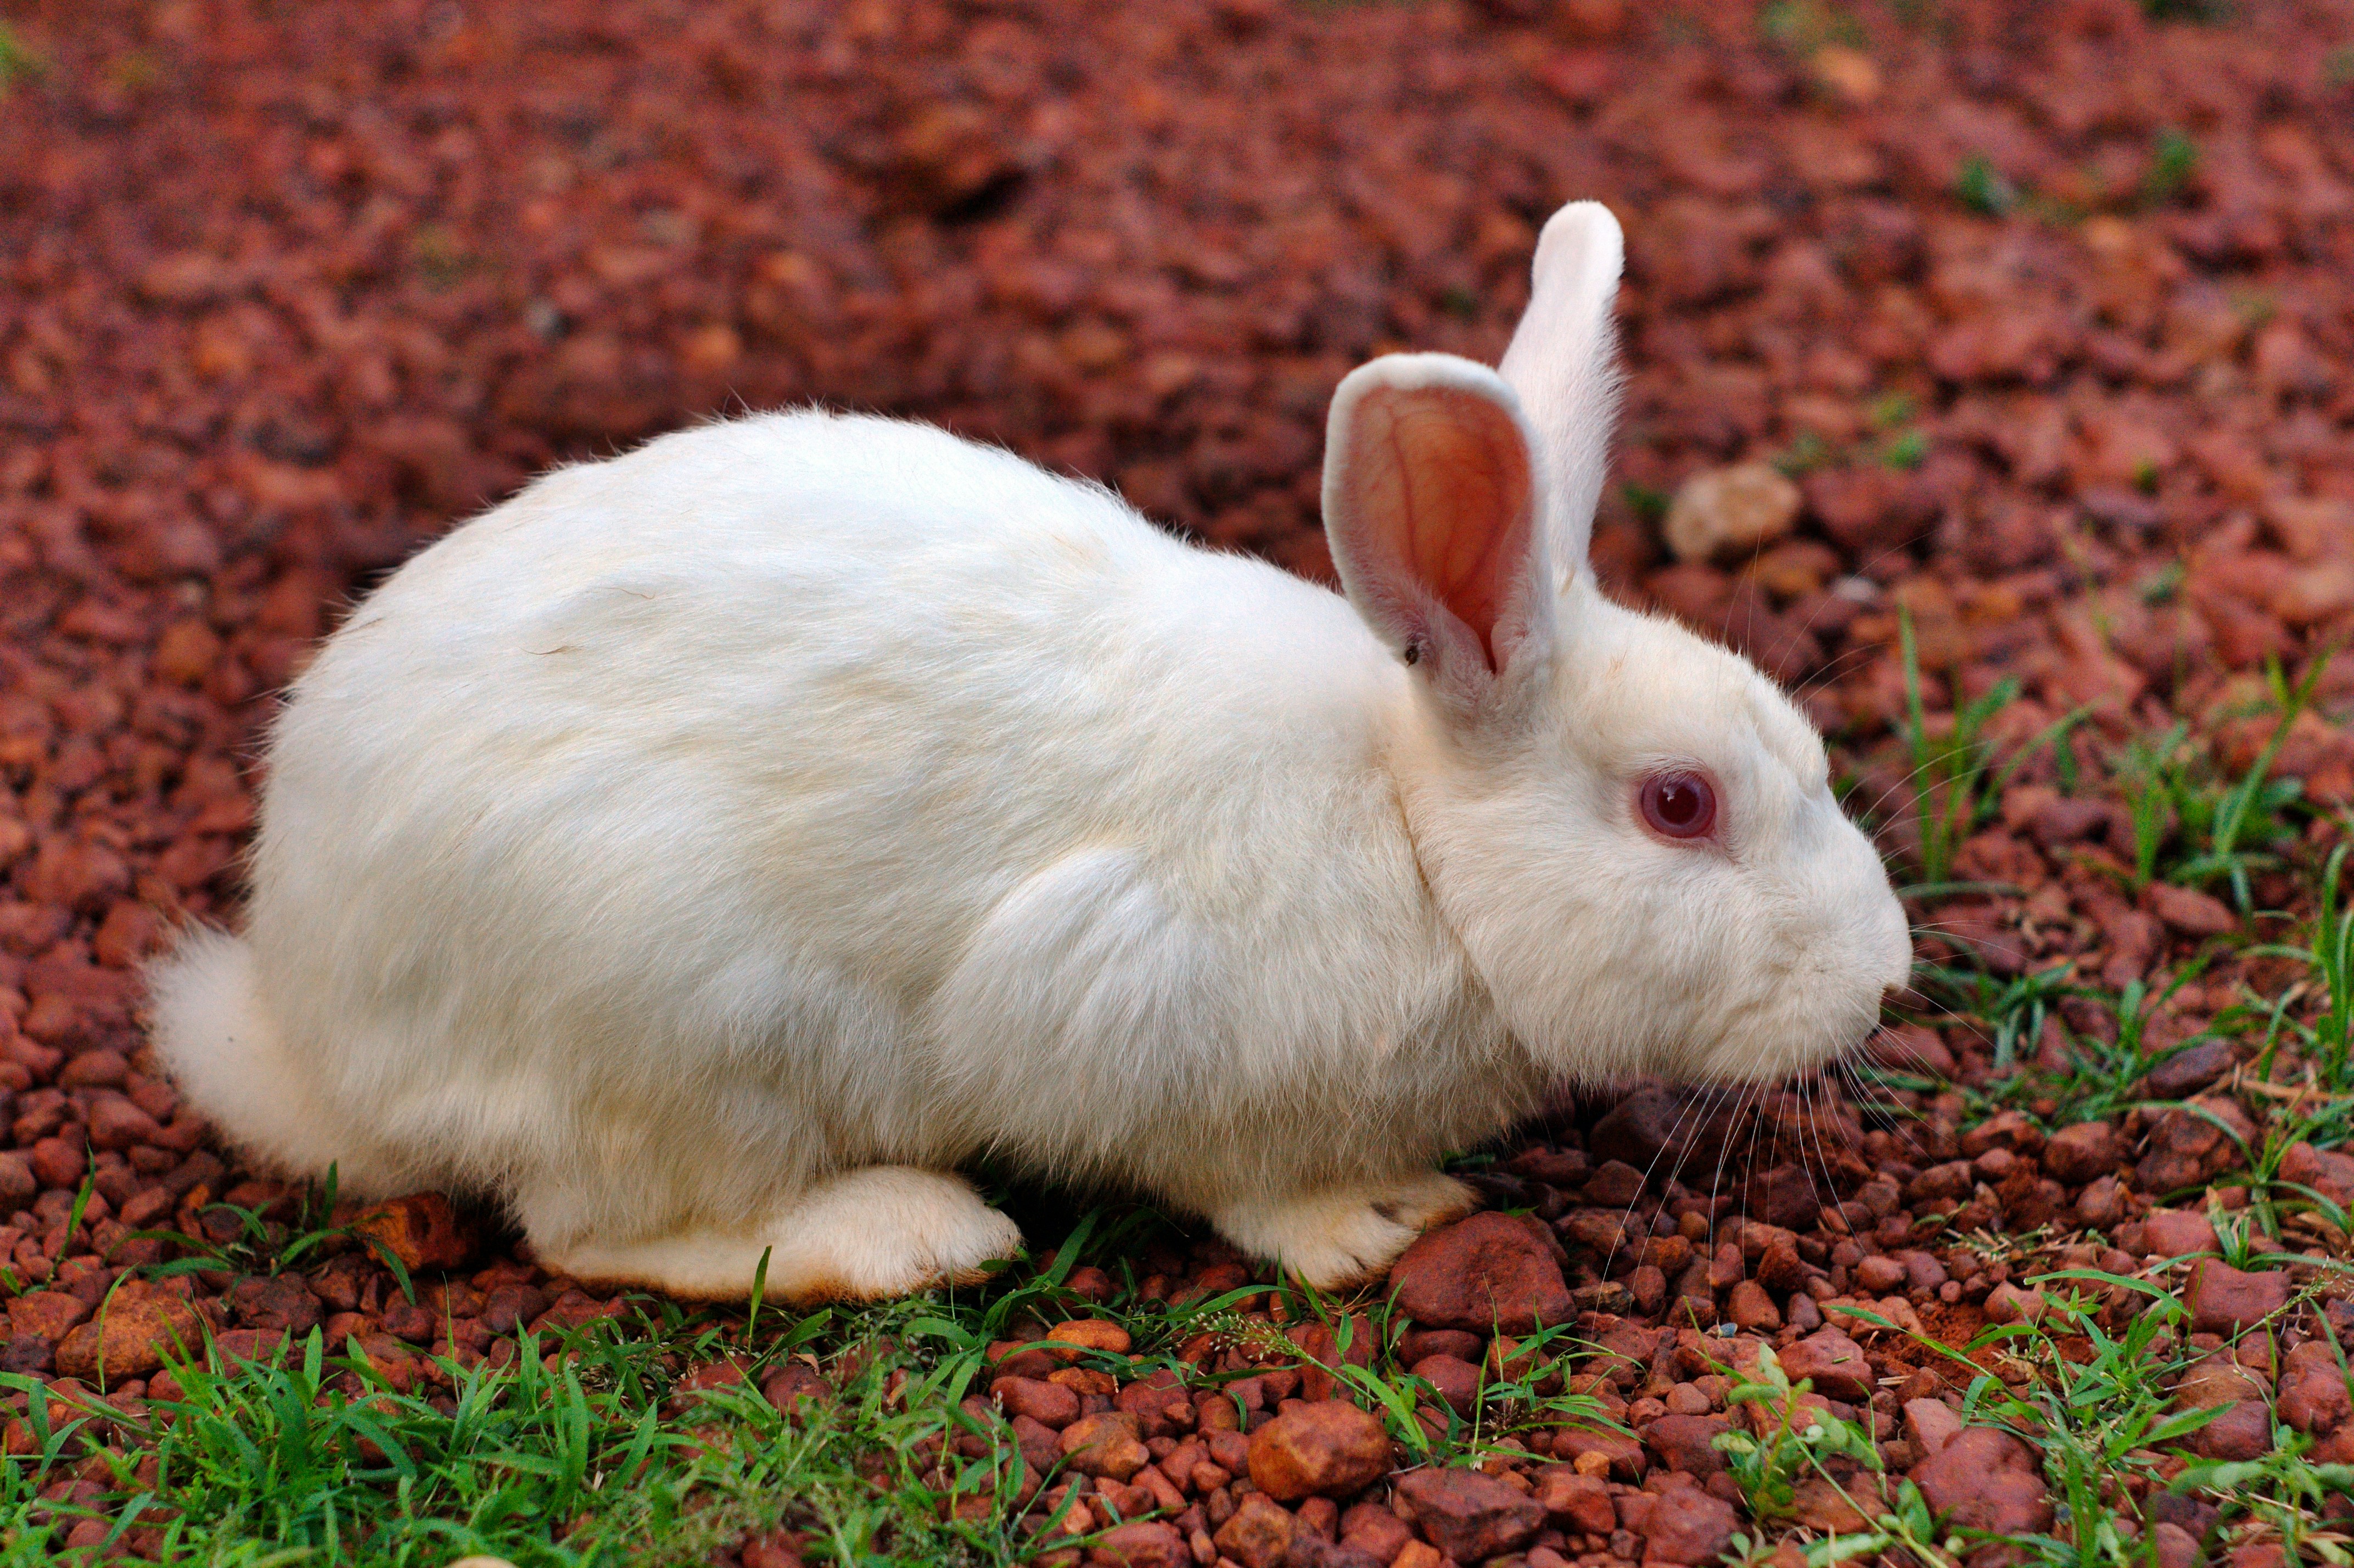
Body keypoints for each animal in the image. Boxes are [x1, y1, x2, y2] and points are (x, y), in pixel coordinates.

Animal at [149, 201, 1912, 1303]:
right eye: (1677, 806)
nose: (1886, 977)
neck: (1416, 833)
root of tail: (303, 1022)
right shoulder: (1125, 1006)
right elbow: (1240, 1180)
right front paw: (1379, 1221)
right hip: (666, 1030)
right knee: (597, 1231)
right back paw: (906, 1236)